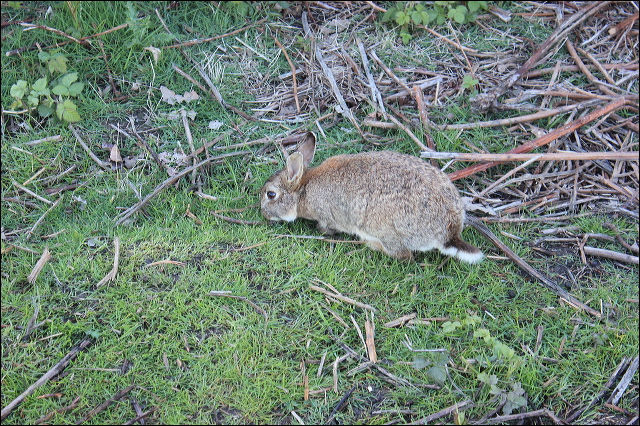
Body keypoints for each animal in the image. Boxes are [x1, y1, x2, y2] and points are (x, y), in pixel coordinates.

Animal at [258, 131, 480, 262]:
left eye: (271, 194)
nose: (264, 214)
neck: (303, 189)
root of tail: (449, 232)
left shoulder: (326, 216)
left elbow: (326, 227)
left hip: (385, 229)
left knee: (403, 255)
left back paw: (370, 244)